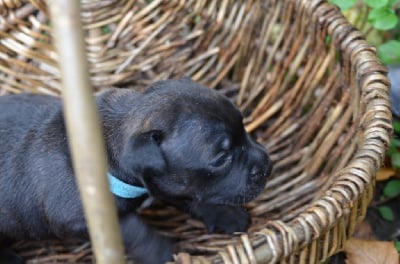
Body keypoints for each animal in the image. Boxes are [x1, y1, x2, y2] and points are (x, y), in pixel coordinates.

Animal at [0, 77, 272, 262]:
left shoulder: (166, 183)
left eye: (244, 126)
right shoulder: (82, 219)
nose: (267, 165)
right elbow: (136, 231)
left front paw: (226, 214)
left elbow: (193, 196)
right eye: (221, 159)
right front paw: (164, 253)